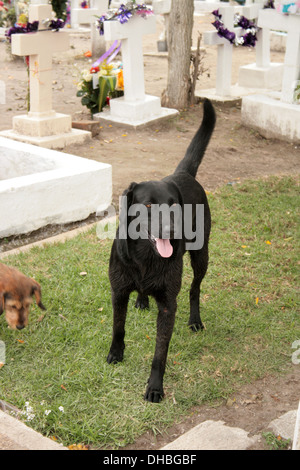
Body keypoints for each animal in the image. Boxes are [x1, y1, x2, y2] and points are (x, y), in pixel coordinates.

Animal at [107, 98, 216, 400]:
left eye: (173, 205)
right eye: (147, 205)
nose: (170, 231)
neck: (146, 258)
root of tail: (182, 172)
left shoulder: (168, 305)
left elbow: (160, 352)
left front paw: (155, 387)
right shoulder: (118, 291)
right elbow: (118, 327)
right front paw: (116, 354)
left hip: (201, 255)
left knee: (194, 288)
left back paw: (195, 320)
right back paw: (143, 300)